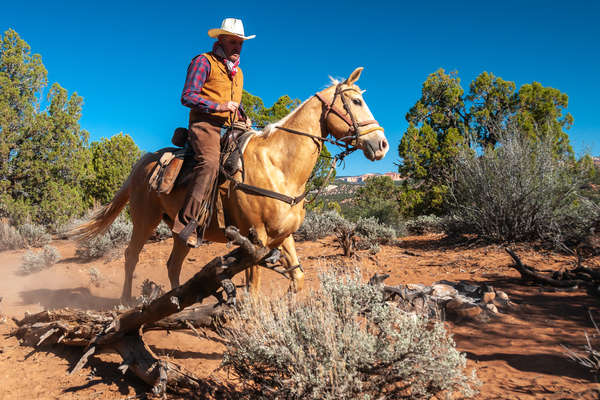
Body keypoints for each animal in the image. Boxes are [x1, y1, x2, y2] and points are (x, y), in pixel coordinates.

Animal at [72, 67, 390, 302]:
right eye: (357, 102)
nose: (382, 144)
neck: (279, 167)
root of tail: (143, 162)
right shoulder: (255, 238)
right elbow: (254, 286)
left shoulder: (283, 235)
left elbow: (297, 277)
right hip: (144, 220)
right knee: (131, 256)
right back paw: (127, 301)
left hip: (180, 230)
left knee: (173, 264)